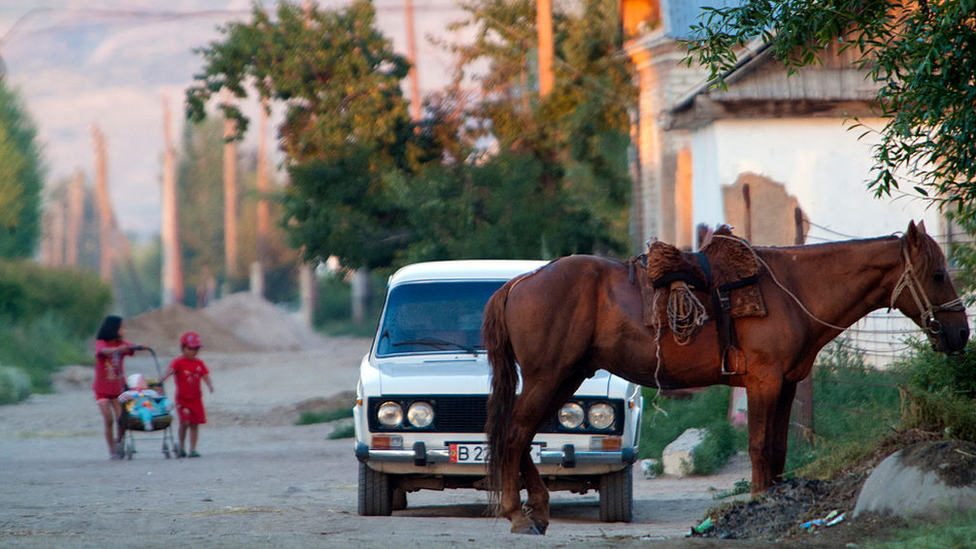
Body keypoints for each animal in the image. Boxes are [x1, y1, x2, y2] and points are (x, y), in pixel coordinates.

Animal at [482, 220, 968, 532]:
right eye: (937, 274)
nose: (960, 333)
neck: (796, 288)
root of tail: (522, 281)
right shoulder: (763, 383)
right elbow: (759, 449)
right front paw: (756, 501)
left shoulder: (786, 385)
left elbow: (777, 451)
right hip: (547, 377)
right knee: (514, 433)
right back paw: (516, 513)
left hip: (564, 379)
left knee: (523, 435)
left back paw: (538, 509)